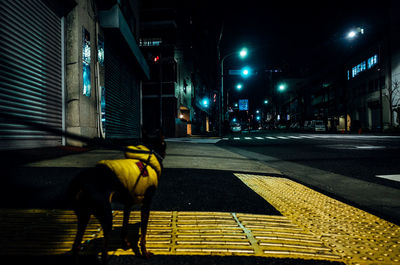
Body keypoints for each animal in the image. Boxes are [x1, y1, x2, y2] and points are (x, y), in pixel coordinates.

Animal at [69, 129, 166, 262]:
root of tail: (80, 182)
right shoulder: (146, 204)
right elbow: (143, 234)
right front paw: (144, 253)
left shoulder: (128, 203)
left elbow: (124, 226)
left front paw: (125, 243)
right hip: (105, 215)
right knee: (103, 251)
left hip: (84, 215)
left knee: (76, 245)